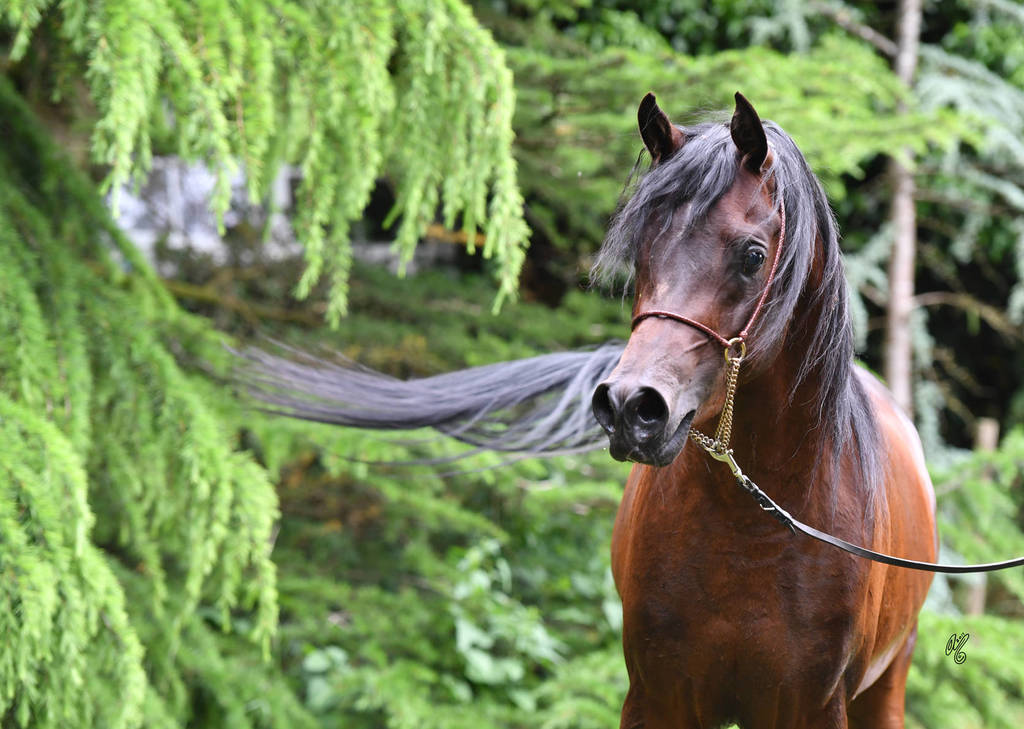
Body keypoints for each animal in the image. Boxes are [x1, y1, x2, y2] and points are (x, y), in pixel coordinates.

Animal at [240, 92, 937, 729]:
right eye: (642, 249)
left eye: (752, 255)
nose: (631, 406)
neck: (755, 535)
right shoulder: (657, 700)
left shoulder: (814, 708)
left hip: (888, 685)